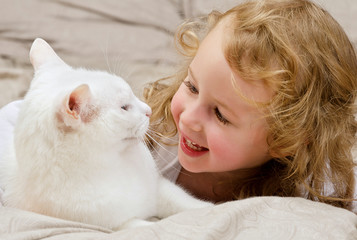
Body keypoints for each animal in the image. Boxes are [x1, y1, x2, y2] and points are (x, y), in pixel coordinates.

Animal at [0, 38, 211, 230]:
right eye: (124, 107)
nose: (149, 110)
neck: (115, 164)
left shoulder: (158, 187)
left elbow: (187, 203)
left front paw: (210, 208)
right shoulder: (116, 224)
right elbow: (151, 226)